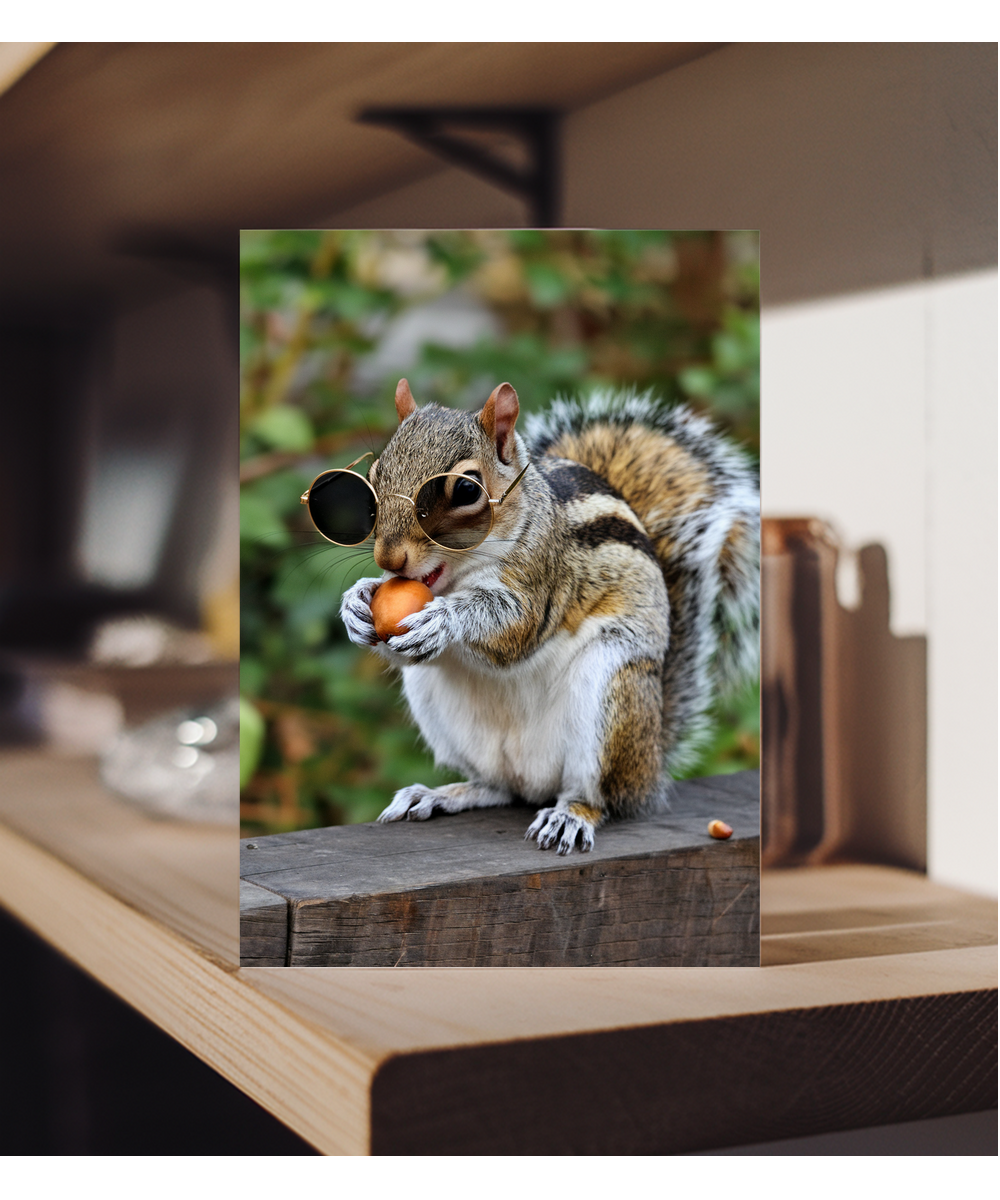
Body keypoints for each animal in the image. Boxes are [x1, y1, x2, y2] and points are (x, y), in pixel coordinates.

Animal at [339, 377, 759, 855]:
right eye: (374, 477)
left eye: (466, 491)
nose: (389, 558)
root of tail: (648, 767)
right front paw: (356, 602)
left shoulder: (545, 574)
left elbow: (515, 629)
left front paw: (445, 620)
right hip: (444, 715)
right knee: (498, 787)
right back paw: (440, 795)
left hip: (610, 696)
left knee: (598, 795)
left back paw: (570, 816)